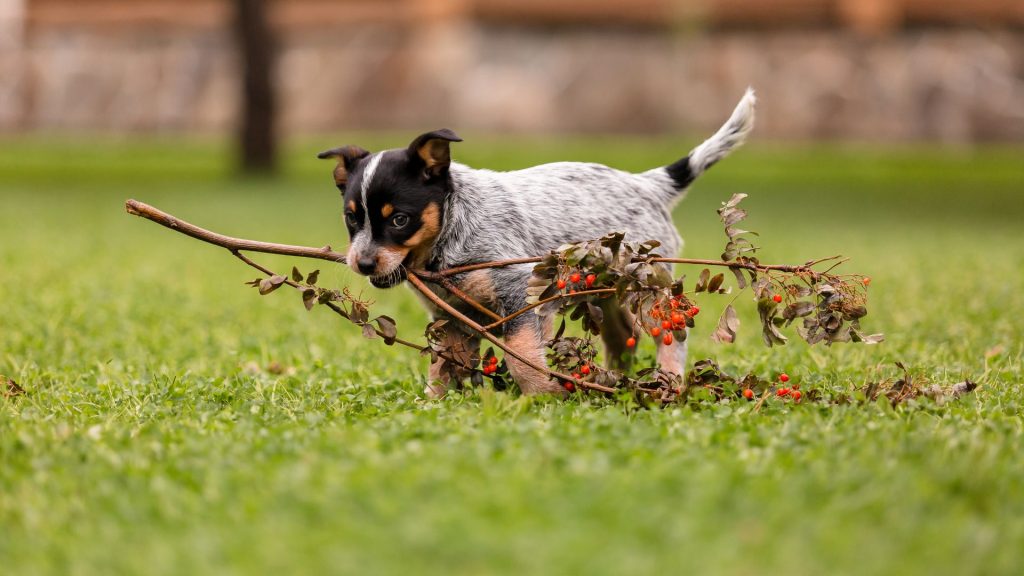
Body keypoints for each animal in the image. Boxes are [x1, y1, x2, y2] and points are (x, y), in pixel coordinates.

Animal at [315, 89, 757, 393]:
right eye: (351, 218)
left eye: (400, 220)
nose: (362, 263)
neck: (451, 239)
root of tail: (648, 183)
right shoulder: (453, 317)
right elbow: (441, 368)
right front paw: (433, 403)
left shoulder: (519, 296)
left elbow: (523, 356)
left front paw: (543, 396)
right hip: (606, 294)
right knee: (620, 340)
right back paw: (611, 381)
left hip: (646, 290)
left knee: (673, 337)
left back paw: (667, 380)